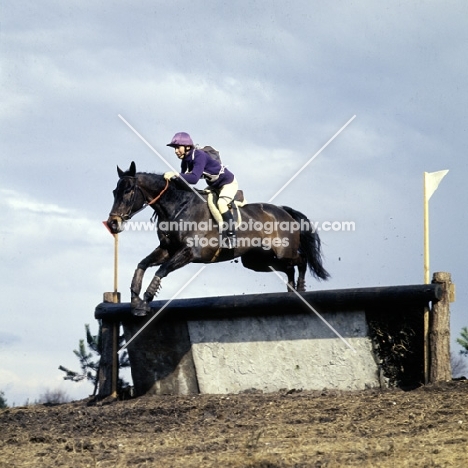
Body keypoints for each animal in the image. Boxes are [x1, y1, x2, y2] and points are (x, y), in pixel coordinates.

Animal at [106, 161, 330, 314]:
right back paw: (292, 293)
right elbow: (142, 264)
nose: (113, 223)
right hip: (258, 260)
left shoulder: (189, 252)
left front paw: (146, 299)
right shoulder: (167, 250)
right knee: (289, 268)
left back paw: (301, 289)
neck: (177, 207)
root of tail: (284, 211)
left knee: (301, 260)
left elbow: (162, 270)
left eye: (129, 191)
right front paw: (135, 299)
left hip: (283, 251)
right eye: (114, 191)